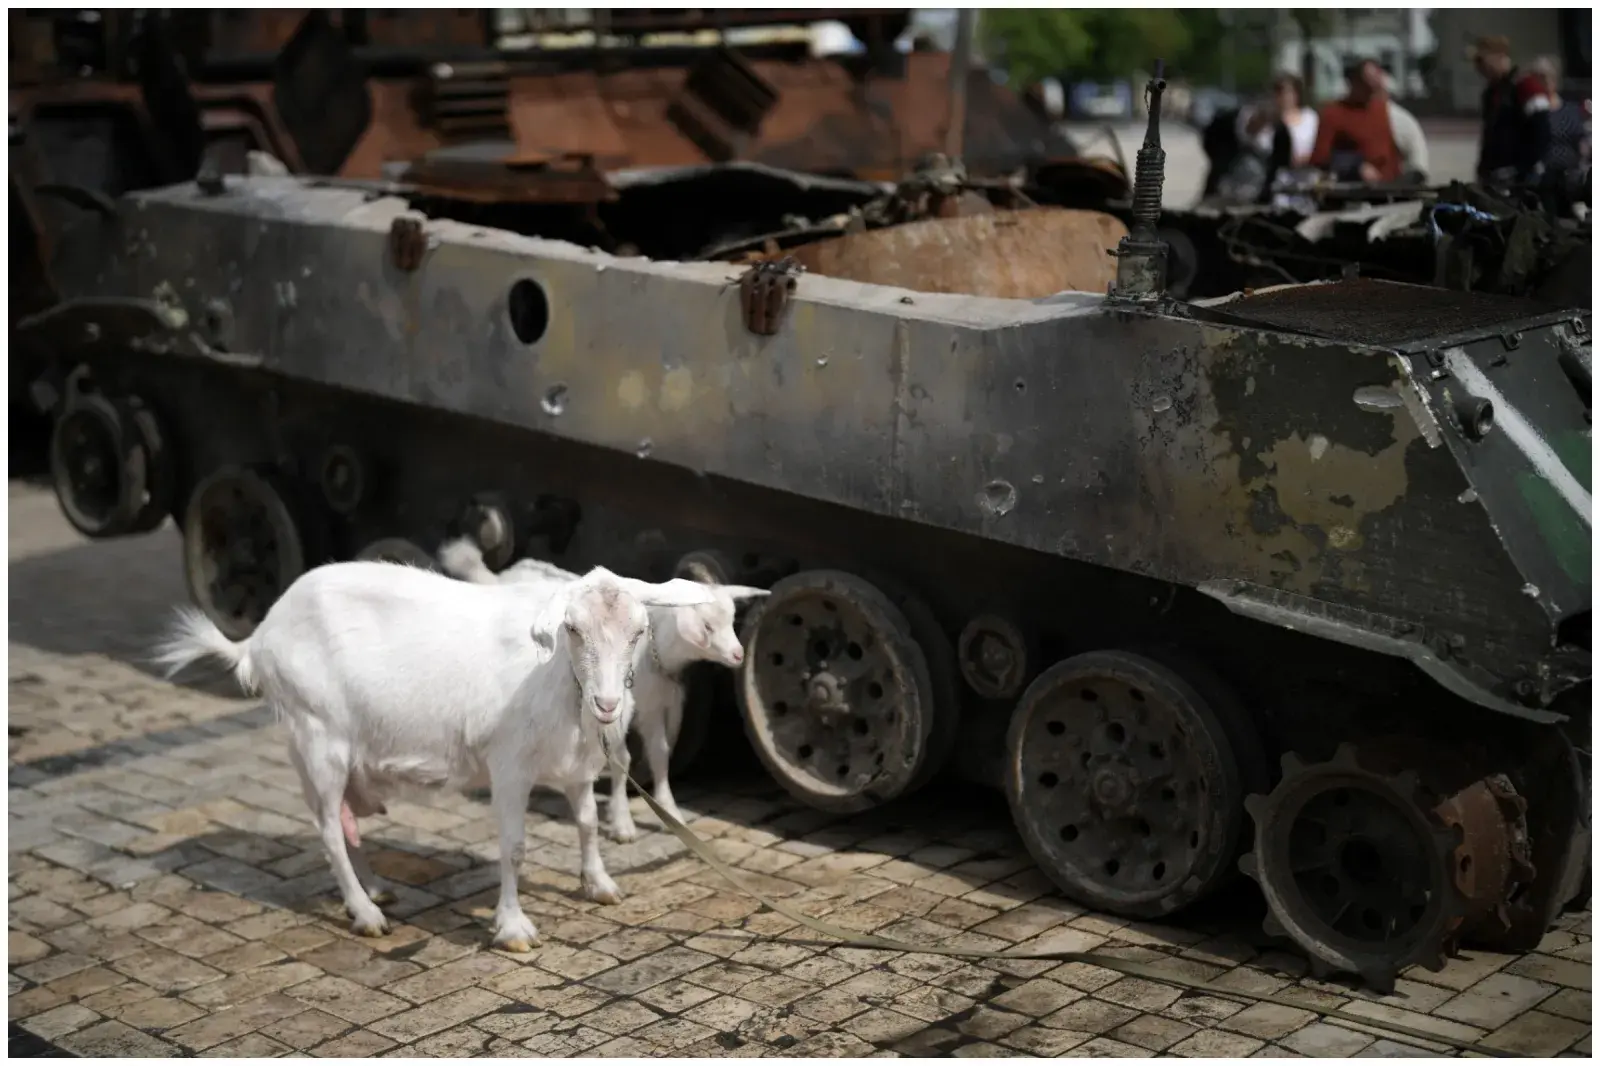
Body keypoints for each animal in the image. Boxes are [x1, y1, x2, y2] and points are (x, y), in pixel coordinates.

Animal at [152, 560, 718, 950]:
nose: (607, 703)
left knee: (342, 821)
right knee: (328, 829)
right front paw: (512, 928)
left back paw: (375, 889)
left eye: (639, 631)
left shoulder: (577, 765)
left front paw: (600, 884)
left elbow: (585, 824)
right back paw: (366, 914)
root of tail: (258, 638)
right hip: (317, 734)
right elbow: (514, 847)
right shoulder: (509, 766)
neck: (560, 678)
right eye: (573, 630)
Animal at [436, 537, 767, 841]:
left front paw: (669, 813)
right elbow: (623, 758)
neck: (655, 649)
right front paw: (623, 823)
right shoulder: (624, 707)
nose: (739, 656)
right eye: (708, 626)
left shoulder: (661, 703)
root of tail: (501, 577)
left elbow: (660, 752)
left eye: (732, 620)